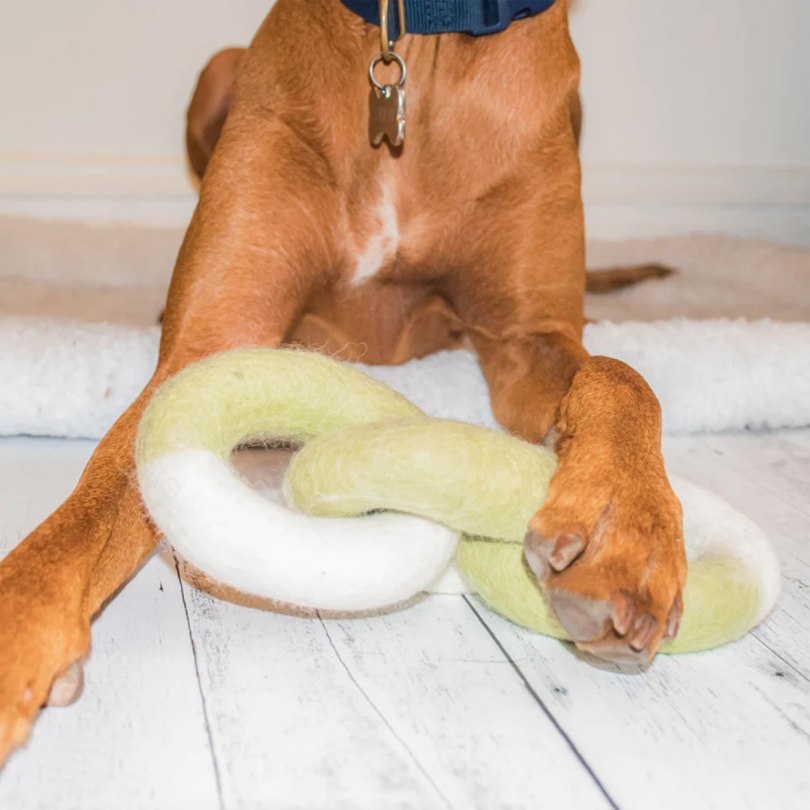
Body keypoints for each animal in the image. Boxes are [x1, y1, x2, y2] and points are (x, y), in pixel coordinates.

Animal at [0, 0, 680, 764]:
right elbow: (80, 519)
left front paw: (628, 531)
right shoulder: (205, 348)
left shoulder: (528, 341)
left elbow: (619, 375)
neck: (415, 51)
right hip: (218, 74)